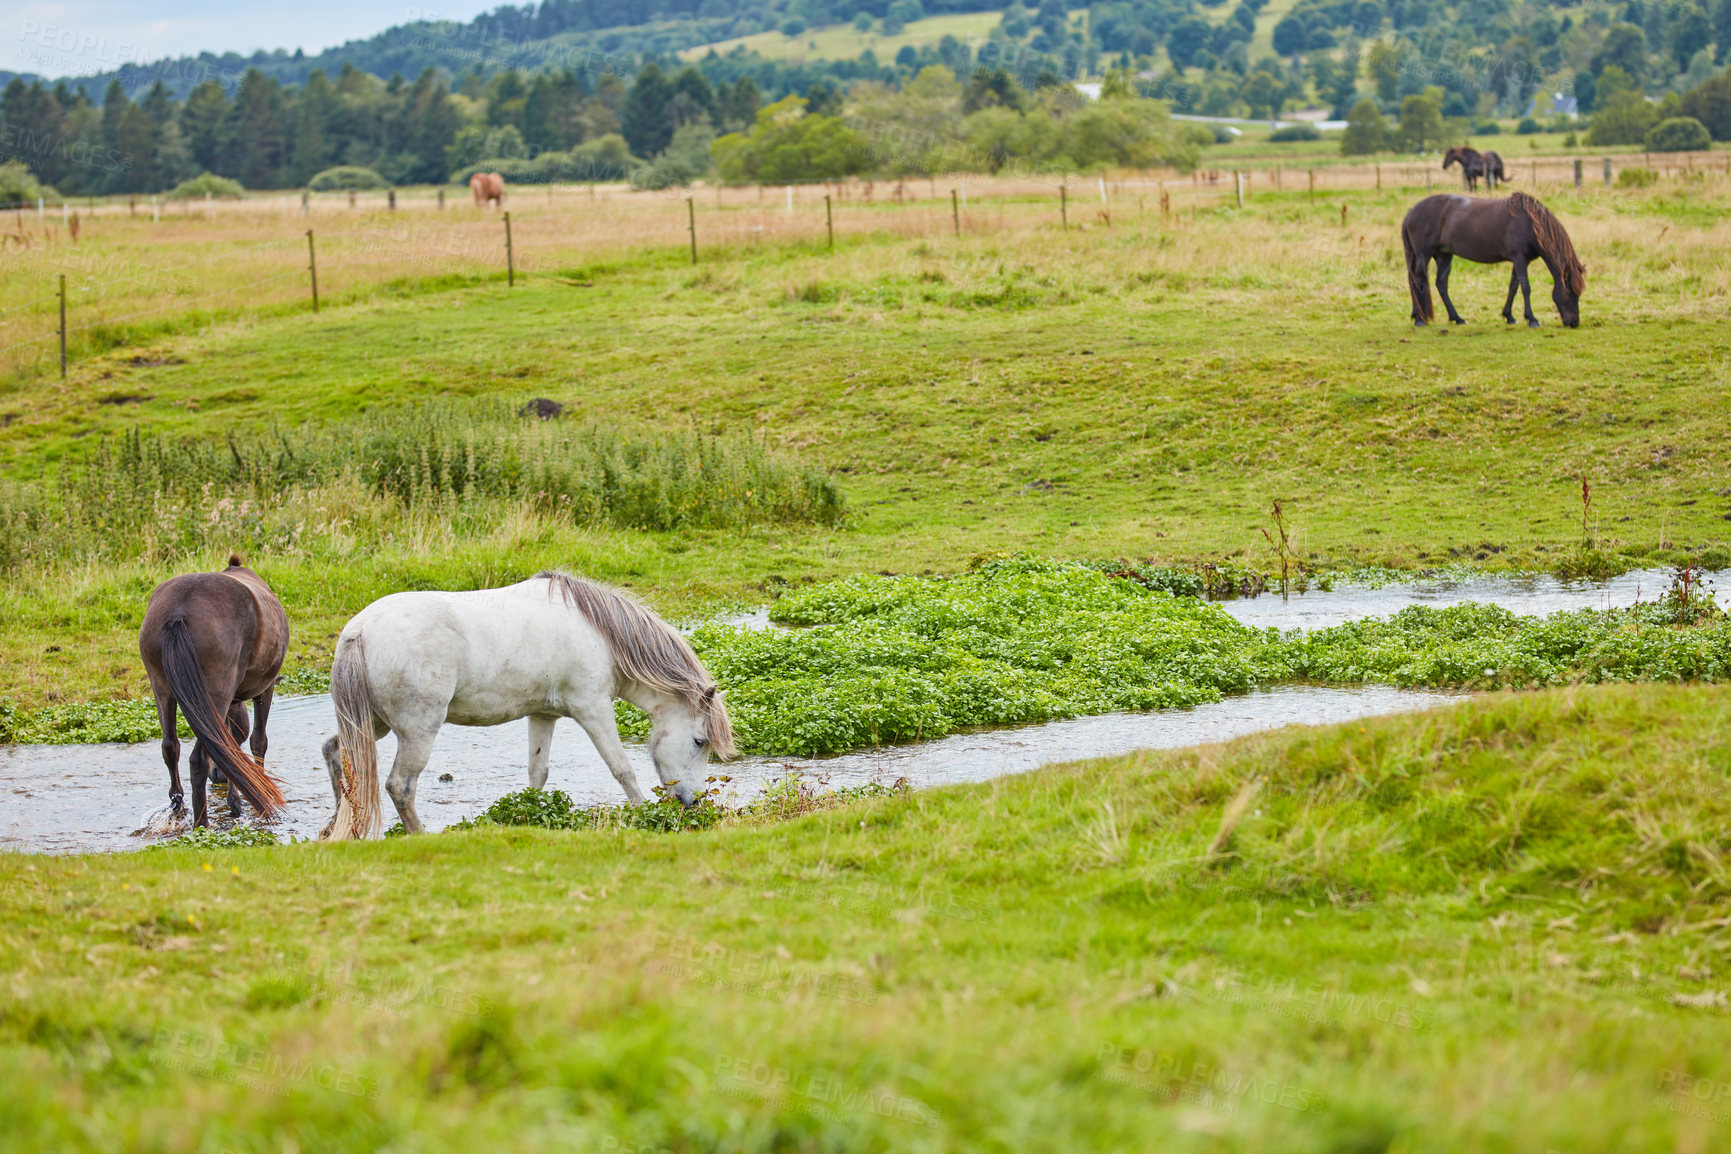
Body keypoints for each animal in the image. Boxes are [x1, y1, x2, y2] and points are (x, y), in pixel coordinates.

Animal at [140, 553, 289, 827]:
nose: (217, 777)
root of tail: (178, 611)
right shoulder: (266, 688)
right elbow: (257, 741)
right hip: (217, 693)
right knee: (199, 758)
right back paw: (202, 824)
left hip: (161, 689)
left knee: (170, 747)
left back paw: (178, 805)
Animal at [321, 574, 733, 840]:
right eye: (699, 742)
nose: (693, 804)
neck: (598, 633)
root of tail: (359, 631)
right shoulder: (593, 710)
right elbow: (621, 768)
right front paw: (645, 815)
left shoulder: (543, 714)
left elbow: (538, 772)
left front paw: (530, 815)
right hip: (418, 731)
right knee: (400, 786)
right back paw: (419, 835)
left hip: (369, 724)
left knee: (337, 754)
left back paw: (339, 827)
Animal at [1398, 192, 1585, 328]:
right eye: (1571, 292)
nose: (1574, 323)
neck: (1529, 223)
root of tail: (1410, 212)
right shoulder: (1519, 259)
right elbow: (1525, 288)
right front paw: (1532, 319)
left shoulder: (1519, 261)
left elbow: (1513, 287)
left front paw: (1509, 316)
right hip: (1423, 255)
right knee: (1418, 281)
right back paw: (1420, 319)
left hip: (1444, 255)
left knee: (1440, 284)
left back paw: (1457, 318)